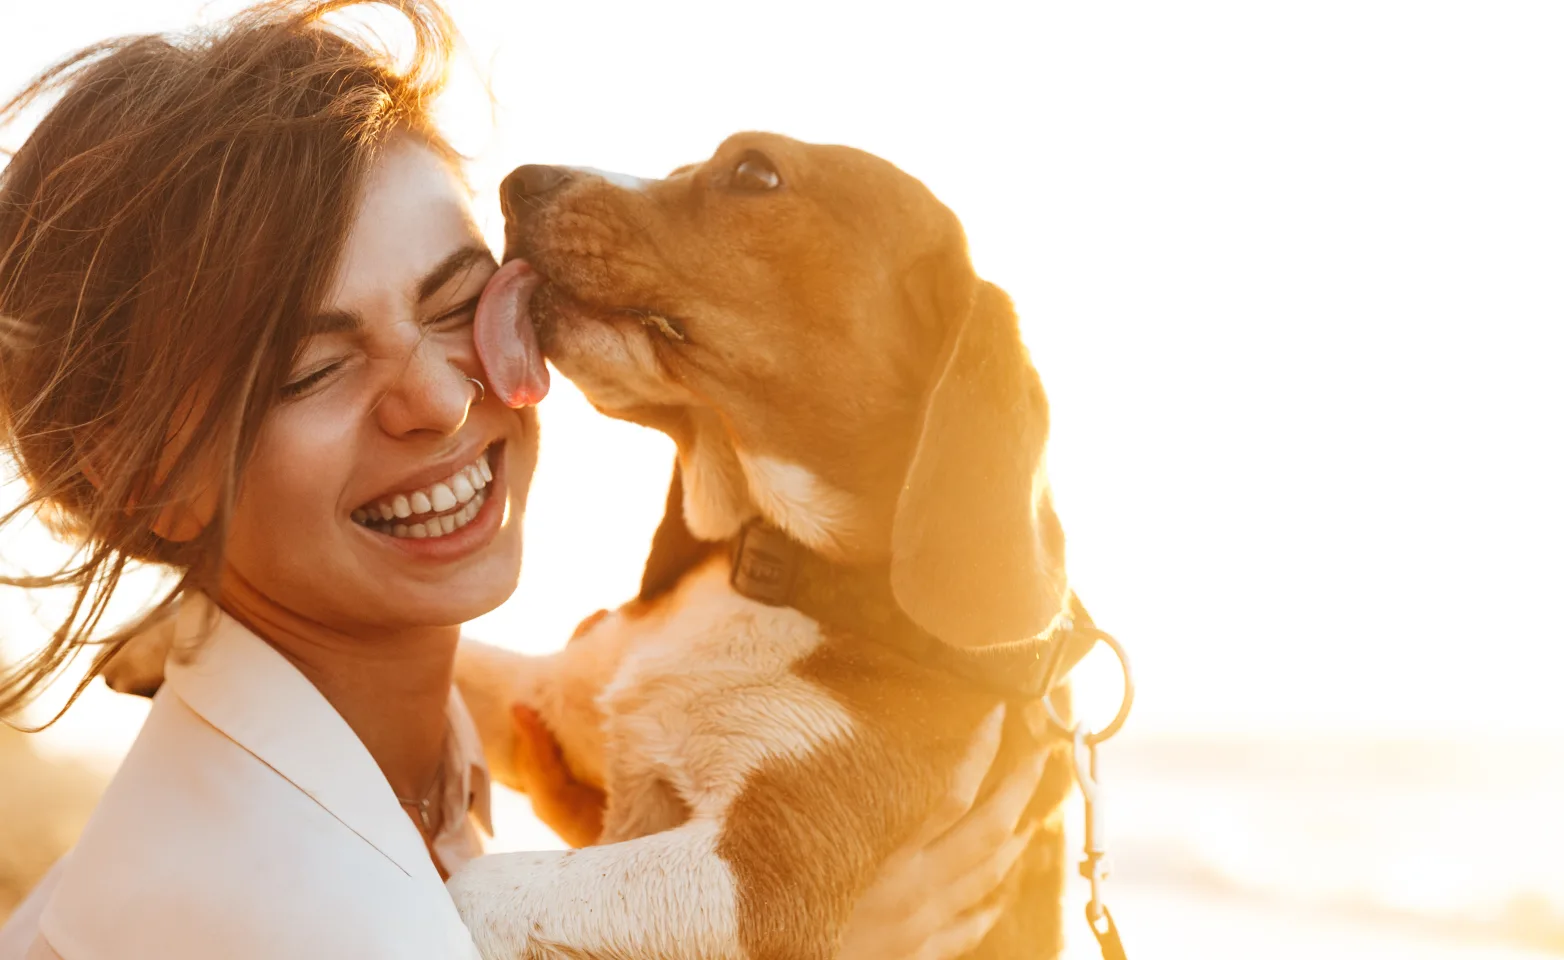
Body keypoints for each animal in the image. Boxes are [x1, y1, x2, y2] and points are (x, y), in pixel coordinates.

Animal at [447, 135, 1094, 960]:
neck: (774, 570)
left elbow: (476, 885)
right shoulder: (553, 700)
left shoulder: (764, 873)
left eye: (754, 171)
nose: (515, 182)